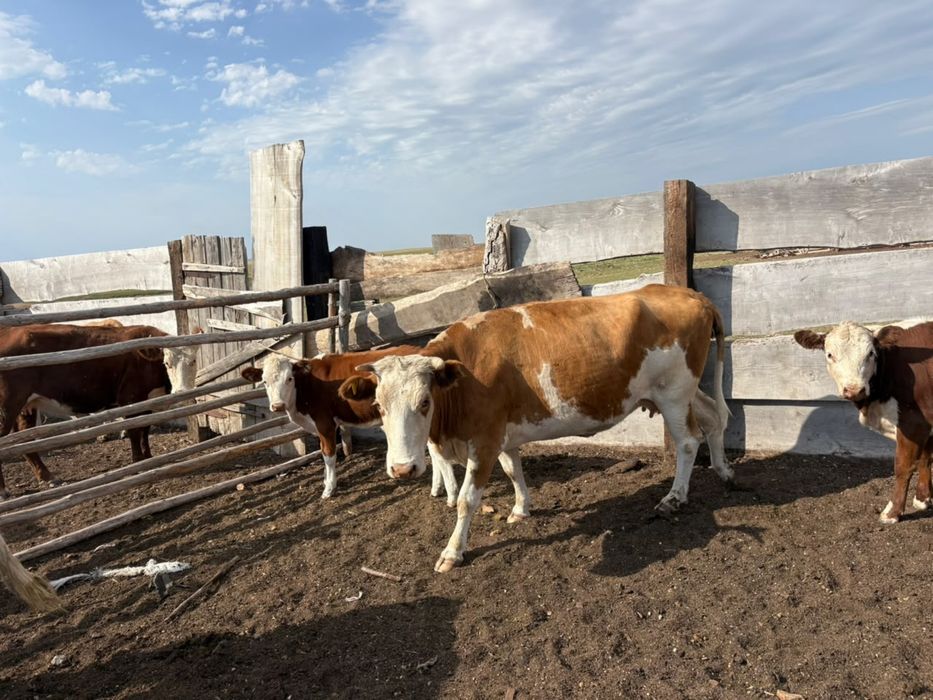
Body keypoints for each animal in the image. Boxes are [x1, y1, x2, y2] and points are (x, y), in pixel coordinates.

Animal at [0, 324, 197, 498]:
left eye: (193, 361)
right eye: (167, 363)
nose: (182, 393)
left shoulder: (148, 402)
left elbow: (145, 429)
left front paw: (148, 457)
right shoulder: (130, 398)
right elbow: (134, 430)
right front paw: (138, 462)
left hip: (27, 406)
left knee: (25, 441)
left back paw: (47, 477)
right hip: (6, 407)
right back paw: (3, 491)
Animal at [241, 350, 462, 502]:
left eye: (289, 378)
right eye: (264, 381)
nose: (277, 406)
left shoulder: (325, 424)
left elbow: (328, 455)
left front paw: (329, 489)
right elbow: (323, 454)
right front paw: (326, 480)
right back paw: (436, 489)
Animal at [339, 284, 732, 572]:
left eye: (424, 402)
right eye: (379, 406)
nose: (403, 469)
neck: (467, 375)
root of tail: (688, 293)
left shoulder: (484, 441)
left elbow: (467, 500)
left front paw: (452, 552)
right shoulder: (504, 435)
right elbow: (514, 471)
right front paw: (520, 509)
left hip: (674, 393)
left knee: (687, 441)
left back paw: (674, 497)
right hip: (684, 391)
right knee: (715, 417)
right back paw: (723, 470)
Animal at [794, 320, 933, 524]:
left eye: (870, 354)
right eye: (830, 354)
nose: (854, 389)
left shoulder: (913, 422)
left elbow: (903, 466)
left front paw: (892, 513)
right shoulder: (926, 423)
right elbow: (926, 458)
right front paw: (923, 500)